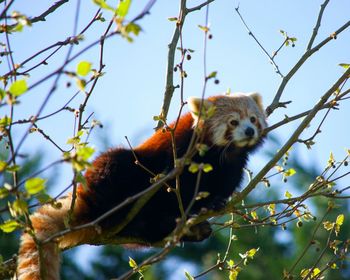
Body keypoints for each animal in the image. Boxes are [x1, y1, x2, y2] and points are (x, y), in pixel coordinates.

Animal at [16, 92, 266, 280]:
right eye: (233, 122)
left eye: (253, 119)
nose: (249, 131)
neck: (221, 154)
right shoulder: (179, 148)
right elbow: (178, 184)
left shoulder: (232, 168)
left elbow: (221, 187)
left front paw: (214, 202)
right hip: (111, 174)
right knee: (117, 164)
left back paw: (186, 229)